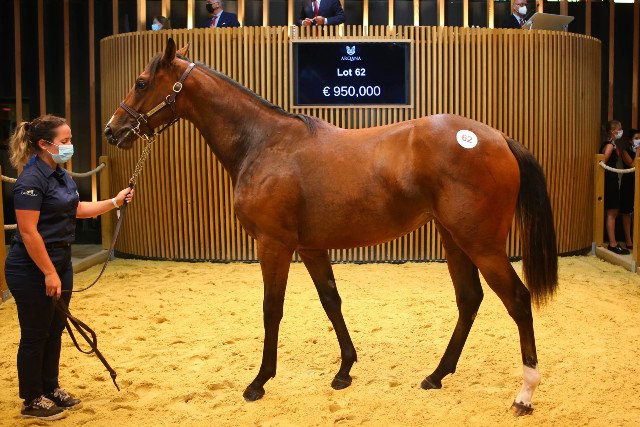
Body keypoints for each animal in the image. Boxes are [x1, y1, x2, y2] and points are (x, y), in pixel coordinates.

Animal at [104, 39, 557, 415]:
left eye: (142, 83)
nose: (113, 130)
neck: (263, 144)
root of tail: (498, 138)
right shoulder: (311, 248)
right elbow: (331, 301)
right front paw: (344, 371)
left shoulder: (274, 245)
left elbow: (272, 309)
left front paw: (259, 381)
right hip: (454, 240)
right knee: (469, 300)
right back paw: (436, 375)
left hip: (481, 244)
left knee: (518, 300)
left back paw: (524, 394)